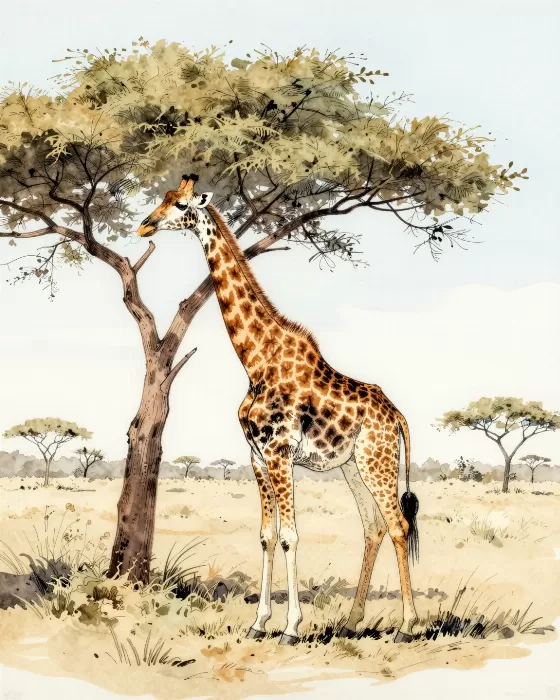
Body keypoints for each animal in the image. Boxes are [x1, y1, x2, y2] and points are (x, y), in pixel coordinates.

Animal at [138, 175, 420, 645]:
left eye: (179, 206)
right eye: (162, 198)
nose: (144, 226)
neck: (255, 360)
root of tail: (396, 415)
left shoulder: (279, 451)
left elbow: (290, 536)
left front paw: (290, 627)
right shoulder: (255, 455)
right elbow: (267, 536)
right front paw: (258, 623)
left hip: (376, 461)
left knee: (397, 524)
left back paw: (407, 625)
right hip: (352, 465)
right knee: (373, 526)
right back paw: (351, 621)